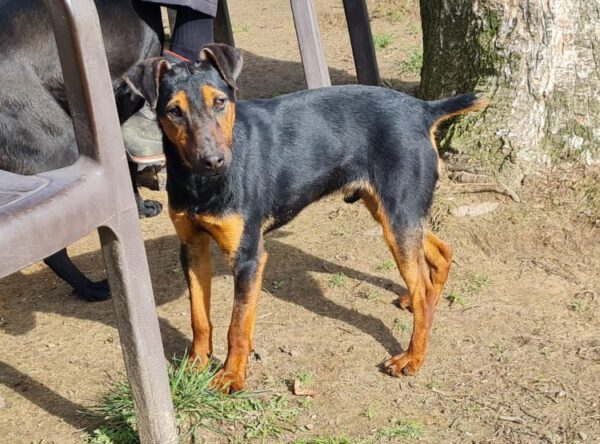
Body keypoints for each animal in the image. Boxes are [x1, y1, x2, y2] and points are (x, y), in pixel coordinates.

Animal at [127, 44, 486, 392]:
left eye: (220, 102)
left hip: (398, 215)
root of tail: (422, 110)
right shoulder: (192, 246)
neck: (200, 183)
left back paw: (413, 356)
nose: (213, 160)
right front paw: (195, 365)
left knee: (423, 283)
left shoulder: (248, 257)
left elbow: (238, 325)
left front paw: (231, 377)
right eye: (174, 111)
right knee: (441, 253)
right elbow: (199, 317)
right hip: (390, 210)